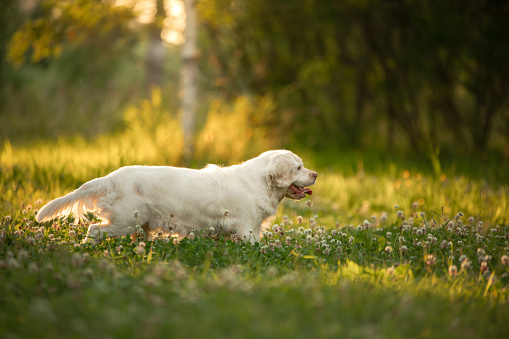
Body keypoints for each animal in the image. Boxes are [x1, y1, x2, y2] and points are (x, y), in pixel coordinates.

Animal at [34, 150, 314, 243]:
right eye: (299, 167)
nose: (316, 174)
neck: (258, 183)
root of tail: (111, 178)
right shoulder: (246, 228)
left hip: (139, 223)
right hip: (126, 221)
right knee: (93, 230)